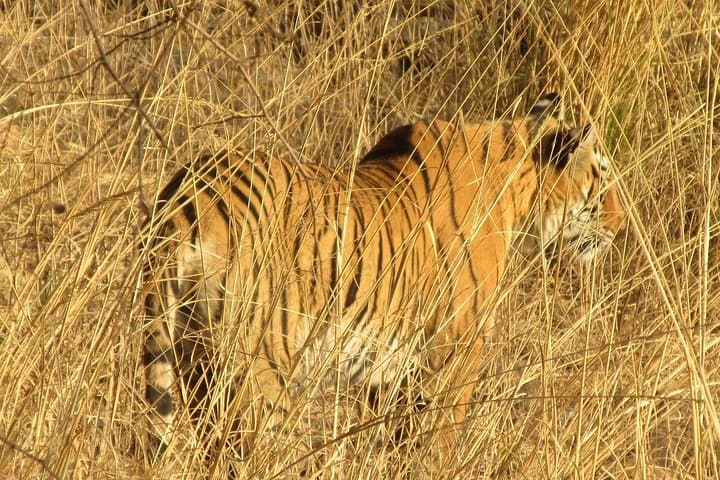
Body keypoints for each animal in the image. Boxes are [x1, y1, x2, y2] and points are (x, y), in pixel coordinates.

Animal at [140, 93, 625, 469]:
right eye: (603, 183)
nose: (621, 226)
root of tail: (191, 197)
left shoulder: (389, 370)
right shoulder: (454, 351)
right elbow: (440, 438)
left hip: (189, 359)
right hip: (259, 368)